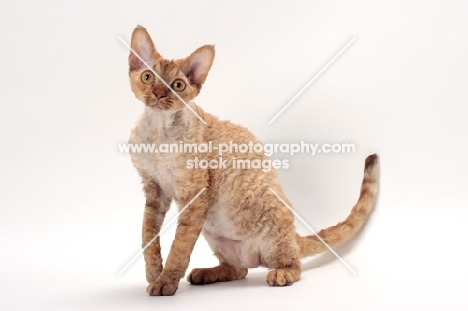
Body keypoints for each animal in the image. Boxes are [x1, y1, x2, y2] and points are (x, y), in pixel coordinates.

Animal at [126, 25, 378, 296]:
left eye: (178, 85)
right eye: (148, 77)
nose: (159, 94)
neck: (158, 131)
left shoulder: (195, 194)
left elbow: (180, 246)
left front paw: (166, 282)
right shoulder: (154, 191)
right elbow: (148, 237)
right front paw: (154, 273)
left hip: (269, 224)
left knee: (293, 263)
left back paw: (280, 274)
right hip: (215, 236)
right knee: (239, 270)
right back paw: (207, 273)